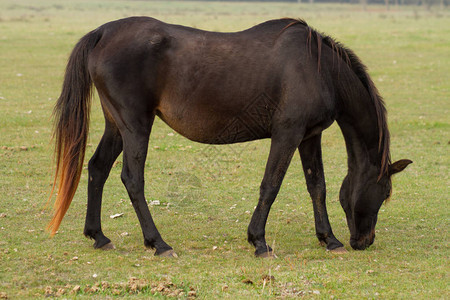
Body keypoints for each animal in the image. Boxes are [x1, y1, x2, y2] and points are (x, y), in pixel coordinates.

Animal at [48, 16, 412, 256]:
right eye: (384, 192)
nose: (364, 242)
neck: (320, 69)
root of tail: (103, 32)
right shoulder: (287, 134)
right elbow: (271, 185)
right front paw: (259, 241)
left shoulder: (310, 137)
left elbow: (317, 186)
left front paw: (329, 239)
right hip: (136, 125)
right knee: (132, 178)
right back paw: (158, 243)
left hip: (117, 125)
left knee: (97, 168)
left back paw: (98, 236)